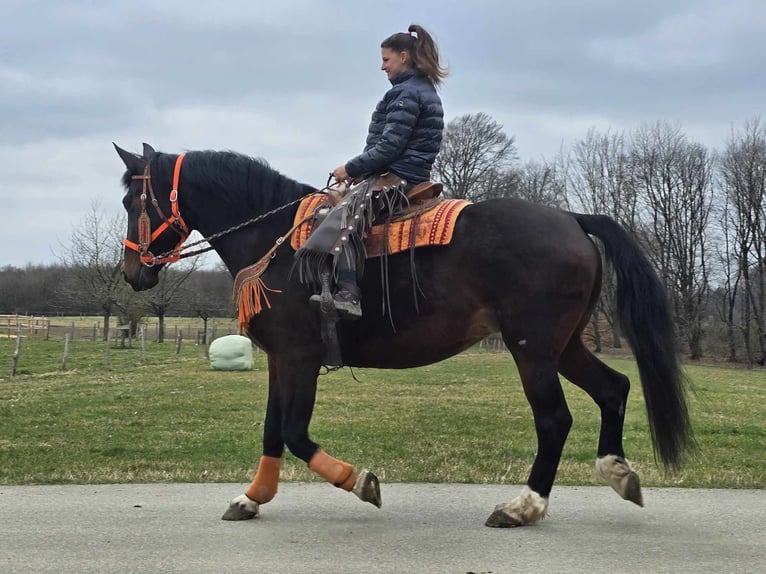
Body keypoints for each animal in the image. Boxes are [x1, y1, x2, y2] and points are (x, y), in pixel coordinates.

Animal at [114, 145, 696, 532]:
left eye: (132, 202)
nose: (131, 273)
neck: (278, 244)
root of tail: (573, 218)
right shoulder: (281, 359)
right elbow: (272, 431)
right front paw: (252, 497)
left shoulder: (301, 356)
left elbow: (296, 433)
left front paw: (359, 481)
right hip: (563, 344)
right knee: (614, 389)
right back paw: (618, 472)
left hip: (532, 349)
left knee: (555, 419)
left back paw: (524, 506)